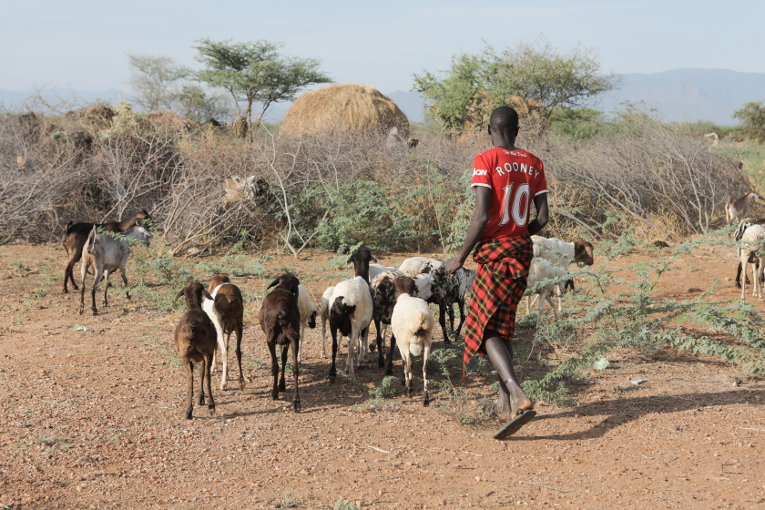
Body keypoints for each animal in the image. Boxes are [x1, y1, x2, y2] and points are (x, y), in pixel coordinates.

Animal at [174, 282, 218, 418]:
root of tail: (193, 326)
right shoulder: (203, 356)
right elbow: (201, 373)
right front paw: (200, 398)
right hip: (205, 353)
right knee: (205, 375)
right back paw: (209, 406)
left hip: (187, 355)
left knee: (191, 377)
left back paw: (190, 410)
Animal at [258, 272, 302, 412]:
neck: (283, 286)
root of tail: (282, 310)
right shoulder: (287, 341)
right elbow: (284, 358)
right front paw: (282, 384)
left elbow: (277, 361)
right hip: (294, 337)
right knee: (295, 367)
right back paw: (296, 402)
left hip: (270, 337)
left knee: (276, 364)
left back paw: (274, 392)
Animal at [328, 247, 376, 378]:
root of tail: (343, 300)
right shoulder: (364, 323)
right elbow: (361, 339)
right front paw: (360, 362)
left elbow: (349, 342)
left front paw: (346, 365)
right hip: (355, 322)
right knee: (353, 343)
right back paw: (352, 374)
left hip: (333, 322)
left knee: (334, 345)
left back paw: (333, 372)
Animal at [390, 276, 432, 404]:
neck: (404, 295)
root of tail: (421, 317)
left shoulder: (400, 342)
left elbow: (404, 363)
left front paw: (408, 384)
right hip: (428, 341)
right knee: (425, 367)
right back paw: (426, 398)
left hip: (405, 341)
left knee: (410, 364)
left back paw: (409, 391)